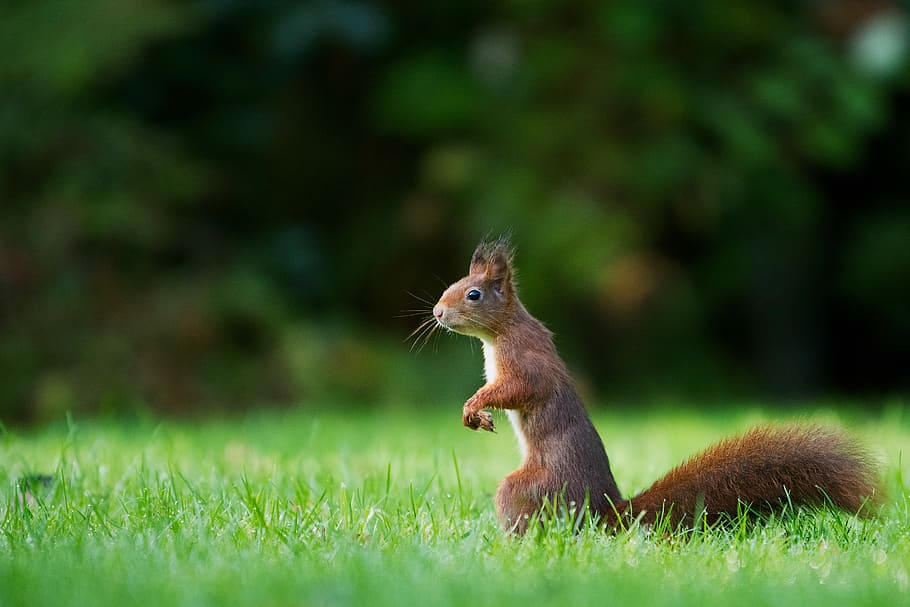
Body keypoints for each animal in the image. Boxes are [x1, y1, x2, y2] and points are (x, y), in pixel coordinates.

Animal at [432, 236, 880, 534]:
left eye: (473, 294)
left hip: (532, 488)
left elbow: (521, 389)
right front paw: (476, 413)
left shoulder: (526, 360)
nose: (437, 312)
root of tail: (608, 513)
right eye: (450, 286)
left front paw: (474, 405)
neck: (501, 332)